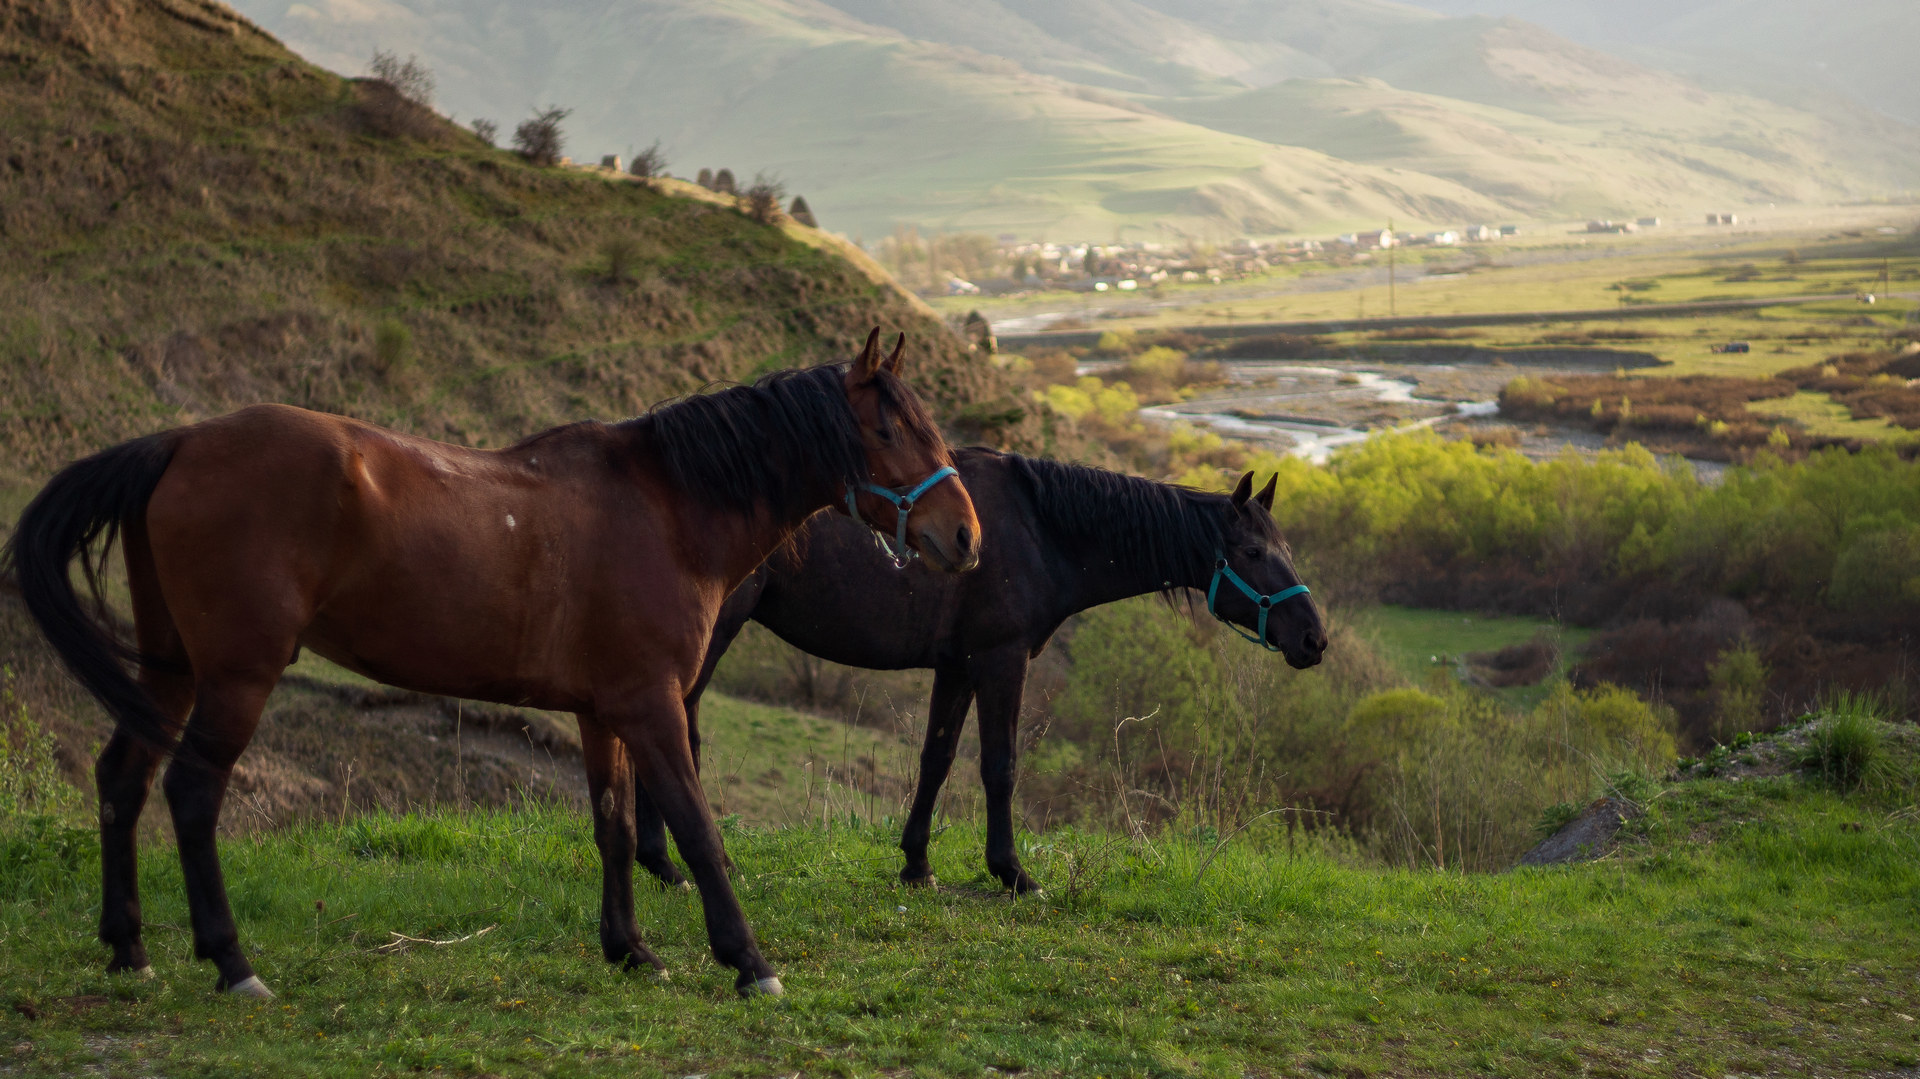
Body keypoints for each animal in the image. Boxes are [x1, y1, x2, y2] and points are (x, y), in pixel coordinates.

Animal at [3, 328, 975, 990]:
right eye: (888, 430)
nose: (964, 535)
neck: (664, 507)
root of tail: (180, 441)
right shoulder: (652, 704)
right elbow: (698, 830)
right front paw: (746, 959)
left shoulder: (602, 711)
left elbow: (613, 825)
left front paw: (631, 948)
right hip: (237, 675)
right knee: (191, 792)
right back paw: (232, 961)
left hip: (170, 667)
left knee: (122, 779)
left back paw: (129, 946)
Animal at [641, 445, 1320, 890]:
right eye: (1252, 552)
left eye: (1286, 548)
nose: (1314, 639)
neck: (1037, 531)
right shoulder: (1001, 661)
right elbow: (1000, 766)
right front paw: (1012, 871)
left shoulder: (958, 668)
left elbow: (937, 760)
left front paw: (917, 864)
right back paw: (677, 865)